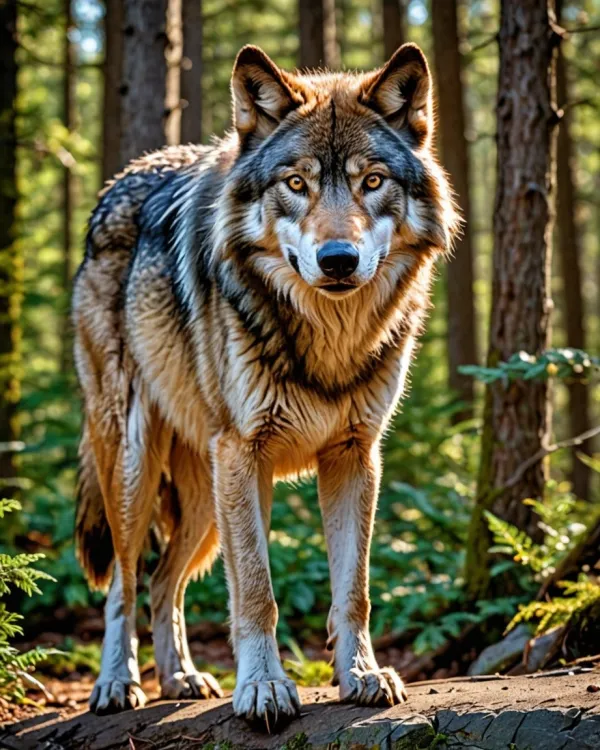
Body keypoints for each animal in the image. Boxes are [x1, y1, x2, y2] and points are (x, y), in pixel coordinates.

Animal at [73, 43, 457, 725]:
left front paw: (361, 674)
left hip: (206, 501)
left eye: (372, 181)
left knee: (163, 581)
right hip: (138, 468)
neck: (329, 343)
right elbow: (257, 591)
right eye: (296, 184)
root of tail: (117, 184)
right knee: (123, 580)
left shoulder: (355, 456)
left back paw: (182, 678)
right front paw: (263, 688)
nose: (338, 260)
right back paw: (118, 684)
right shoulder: (243, 454)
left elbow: (353, 590)